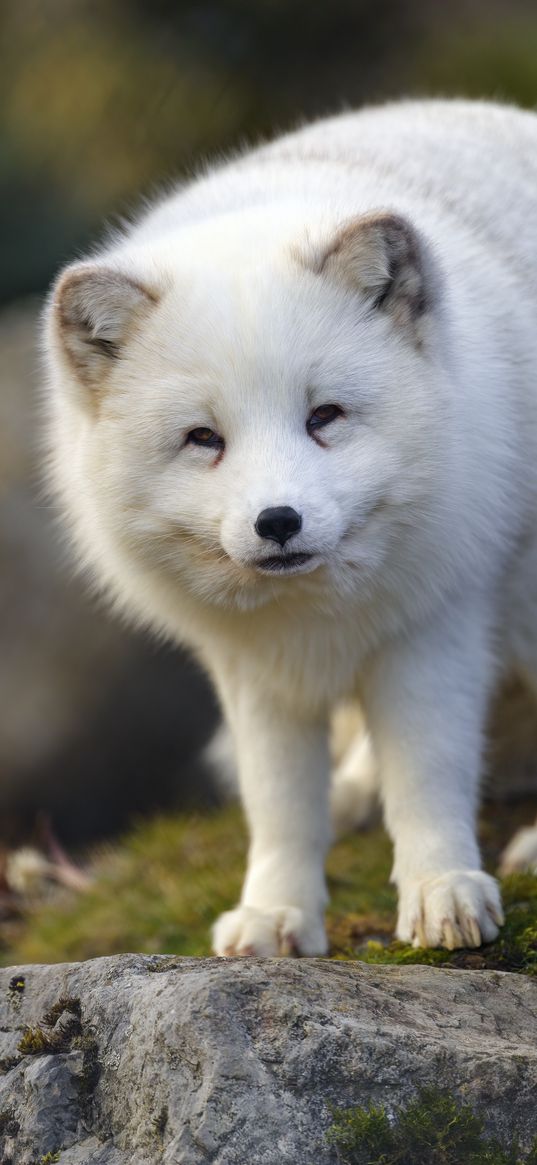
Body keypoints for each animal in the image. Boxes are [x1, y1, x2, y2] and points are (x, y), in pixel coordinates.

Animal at [42, 100, 535, 955]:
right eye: (203, 438)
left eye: (324, 416)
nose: (277, 521)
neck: (312, 616)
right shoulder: (254, 670)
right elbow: (278, 805)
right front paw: (276, 911)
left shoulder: (435, 628)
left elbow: (429, 773)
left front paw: (441, 889)